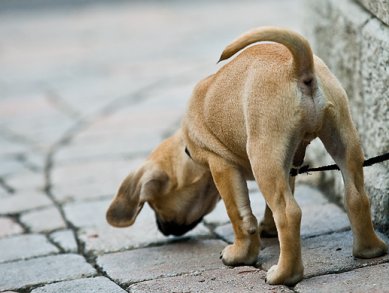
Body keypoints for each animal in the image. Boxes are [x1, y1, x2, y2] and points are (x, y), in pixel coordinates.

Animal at [105, 26, 384, 282]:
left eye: (154, 204)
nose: (162, 230)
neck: (187, 148)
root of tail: (298, 67)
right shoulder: (288, 166)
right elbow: (268, 209)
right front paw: (267, 230)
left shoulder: (221, 166)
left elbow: (239, 216)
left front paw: (240, 254)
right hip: (342, 140)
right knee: (357, 198)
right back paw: (369, 249)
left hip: (264, 157)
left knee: (289, 214)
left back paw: (285, 274)